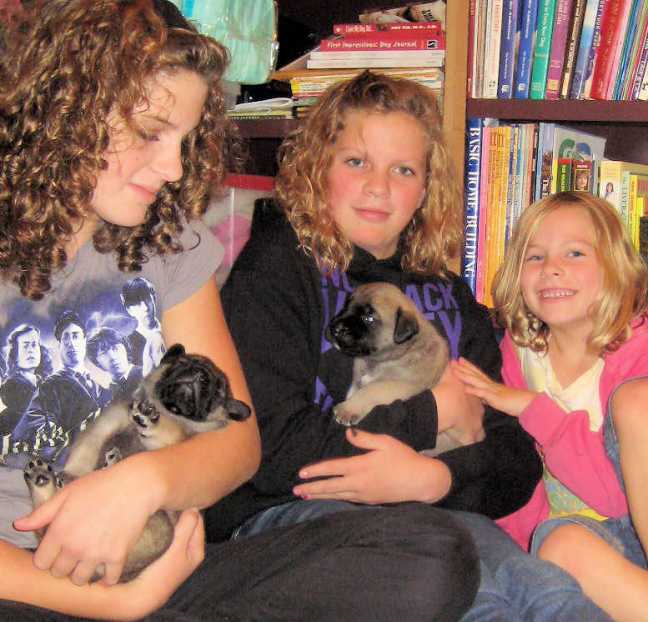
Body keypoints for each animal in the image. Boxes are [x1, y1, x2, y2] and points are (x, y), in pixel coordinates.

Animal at [23, 344, 251, 584]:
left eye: (218, 392)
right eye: (180, 364)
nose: (199, 375)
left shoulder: (172, 440)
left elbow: (170, 429)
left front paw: (151, 421)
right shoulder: (106, 425)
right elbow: (85, 452)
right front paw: (72, 474)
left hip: (158, 530)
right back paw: (42, 477)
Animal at [330, 282, 466, 458]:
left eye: (369, 318)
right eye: (346, 306)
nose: (335, 327)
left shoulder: (398, 385)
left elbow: (370, 390)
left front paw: (348, 408)